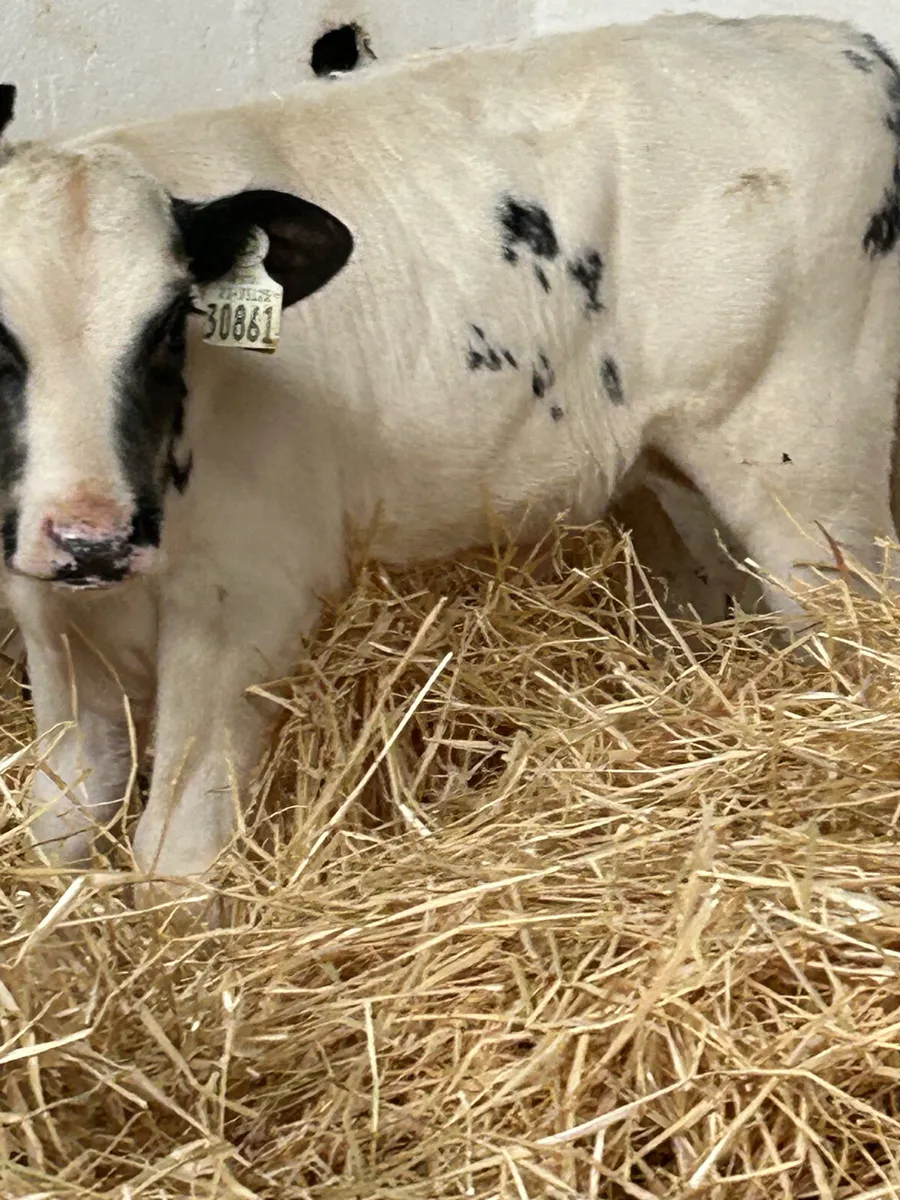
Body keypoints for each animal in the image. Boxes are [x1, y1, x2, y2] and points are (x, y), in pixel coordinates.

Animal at [2, 11, 900, 899]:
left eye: (167, 327)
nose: (93, 541)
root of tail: (828, 40)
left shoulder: (245, 596)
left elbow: (174, 857)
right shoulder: (53, 617)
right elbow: (61, 822)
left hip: (807, 460)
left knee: (850, 627)